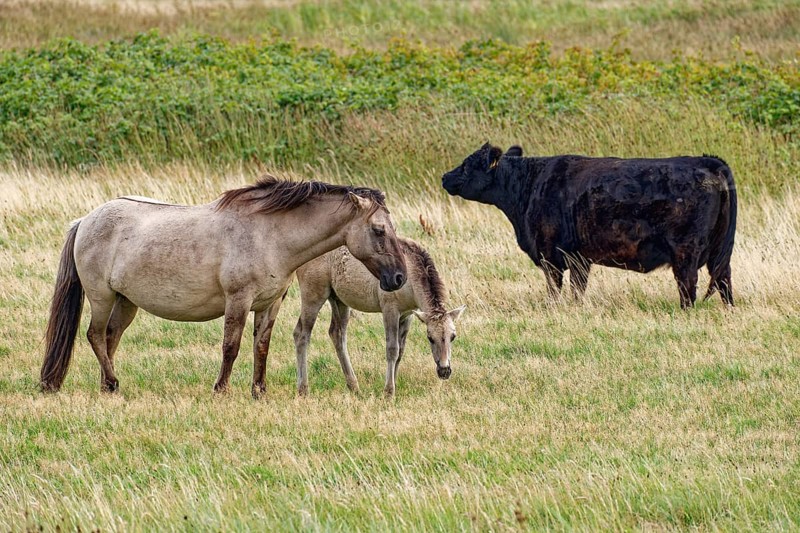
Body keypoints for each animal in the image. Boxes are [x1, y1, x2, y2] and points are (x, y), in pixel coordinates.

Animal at [40, 176, 408, 397]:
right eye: (378, 229)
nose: (399, 278)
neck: (269, 235)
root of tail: (85, 220)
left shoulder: (270, 303)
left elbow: (261, 347)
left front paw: (259, 391)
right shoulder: (238, 300)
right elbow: (231, 346)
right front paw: (221, 389)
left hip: (126, 301)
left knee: (110, 337)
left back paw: (108, 385)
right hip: (101, 297)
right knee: (95, 335)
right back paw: (113, 382)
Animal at [293, 237, 465, 397]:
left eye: (453, 337)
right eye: (430, 338)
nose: (444, 370)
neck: (411, 277)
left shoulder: (408, 314)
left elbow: (401, 351)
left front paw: (393, 383)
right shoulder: (390, 309)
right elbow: (392, 349)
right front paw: (388, 391)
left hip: (339, 299)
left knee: (337, 333)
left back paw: (354, 386)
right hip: (313, 294)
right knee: (301, 334)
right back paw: (303, 389)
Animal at [441, 143, 737, 308]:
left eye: (467, 165)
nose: (445, 176)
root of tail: (706, 161)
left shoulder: (551, 254)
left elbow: (555, 289)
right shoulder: (580, 258)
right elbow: (578, 289)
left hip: (686, 251)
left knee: (689, 284)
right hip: (719, 251)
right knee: (724, 280)